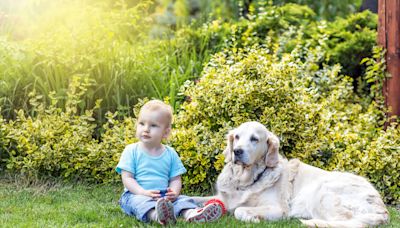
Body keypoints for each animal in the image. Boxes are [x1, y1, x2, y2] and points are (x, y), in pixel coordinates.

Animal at [192, 121, 390, 226]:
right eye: (237, 137)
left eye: (254, 139)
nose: (237, 151)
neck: (245, 181)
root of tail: (383, 209)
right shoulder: (222, 198)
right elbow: (195, 198)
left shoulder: (278, 209)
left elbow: (239, 210)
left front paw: (252, 217)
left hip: (323, 191)